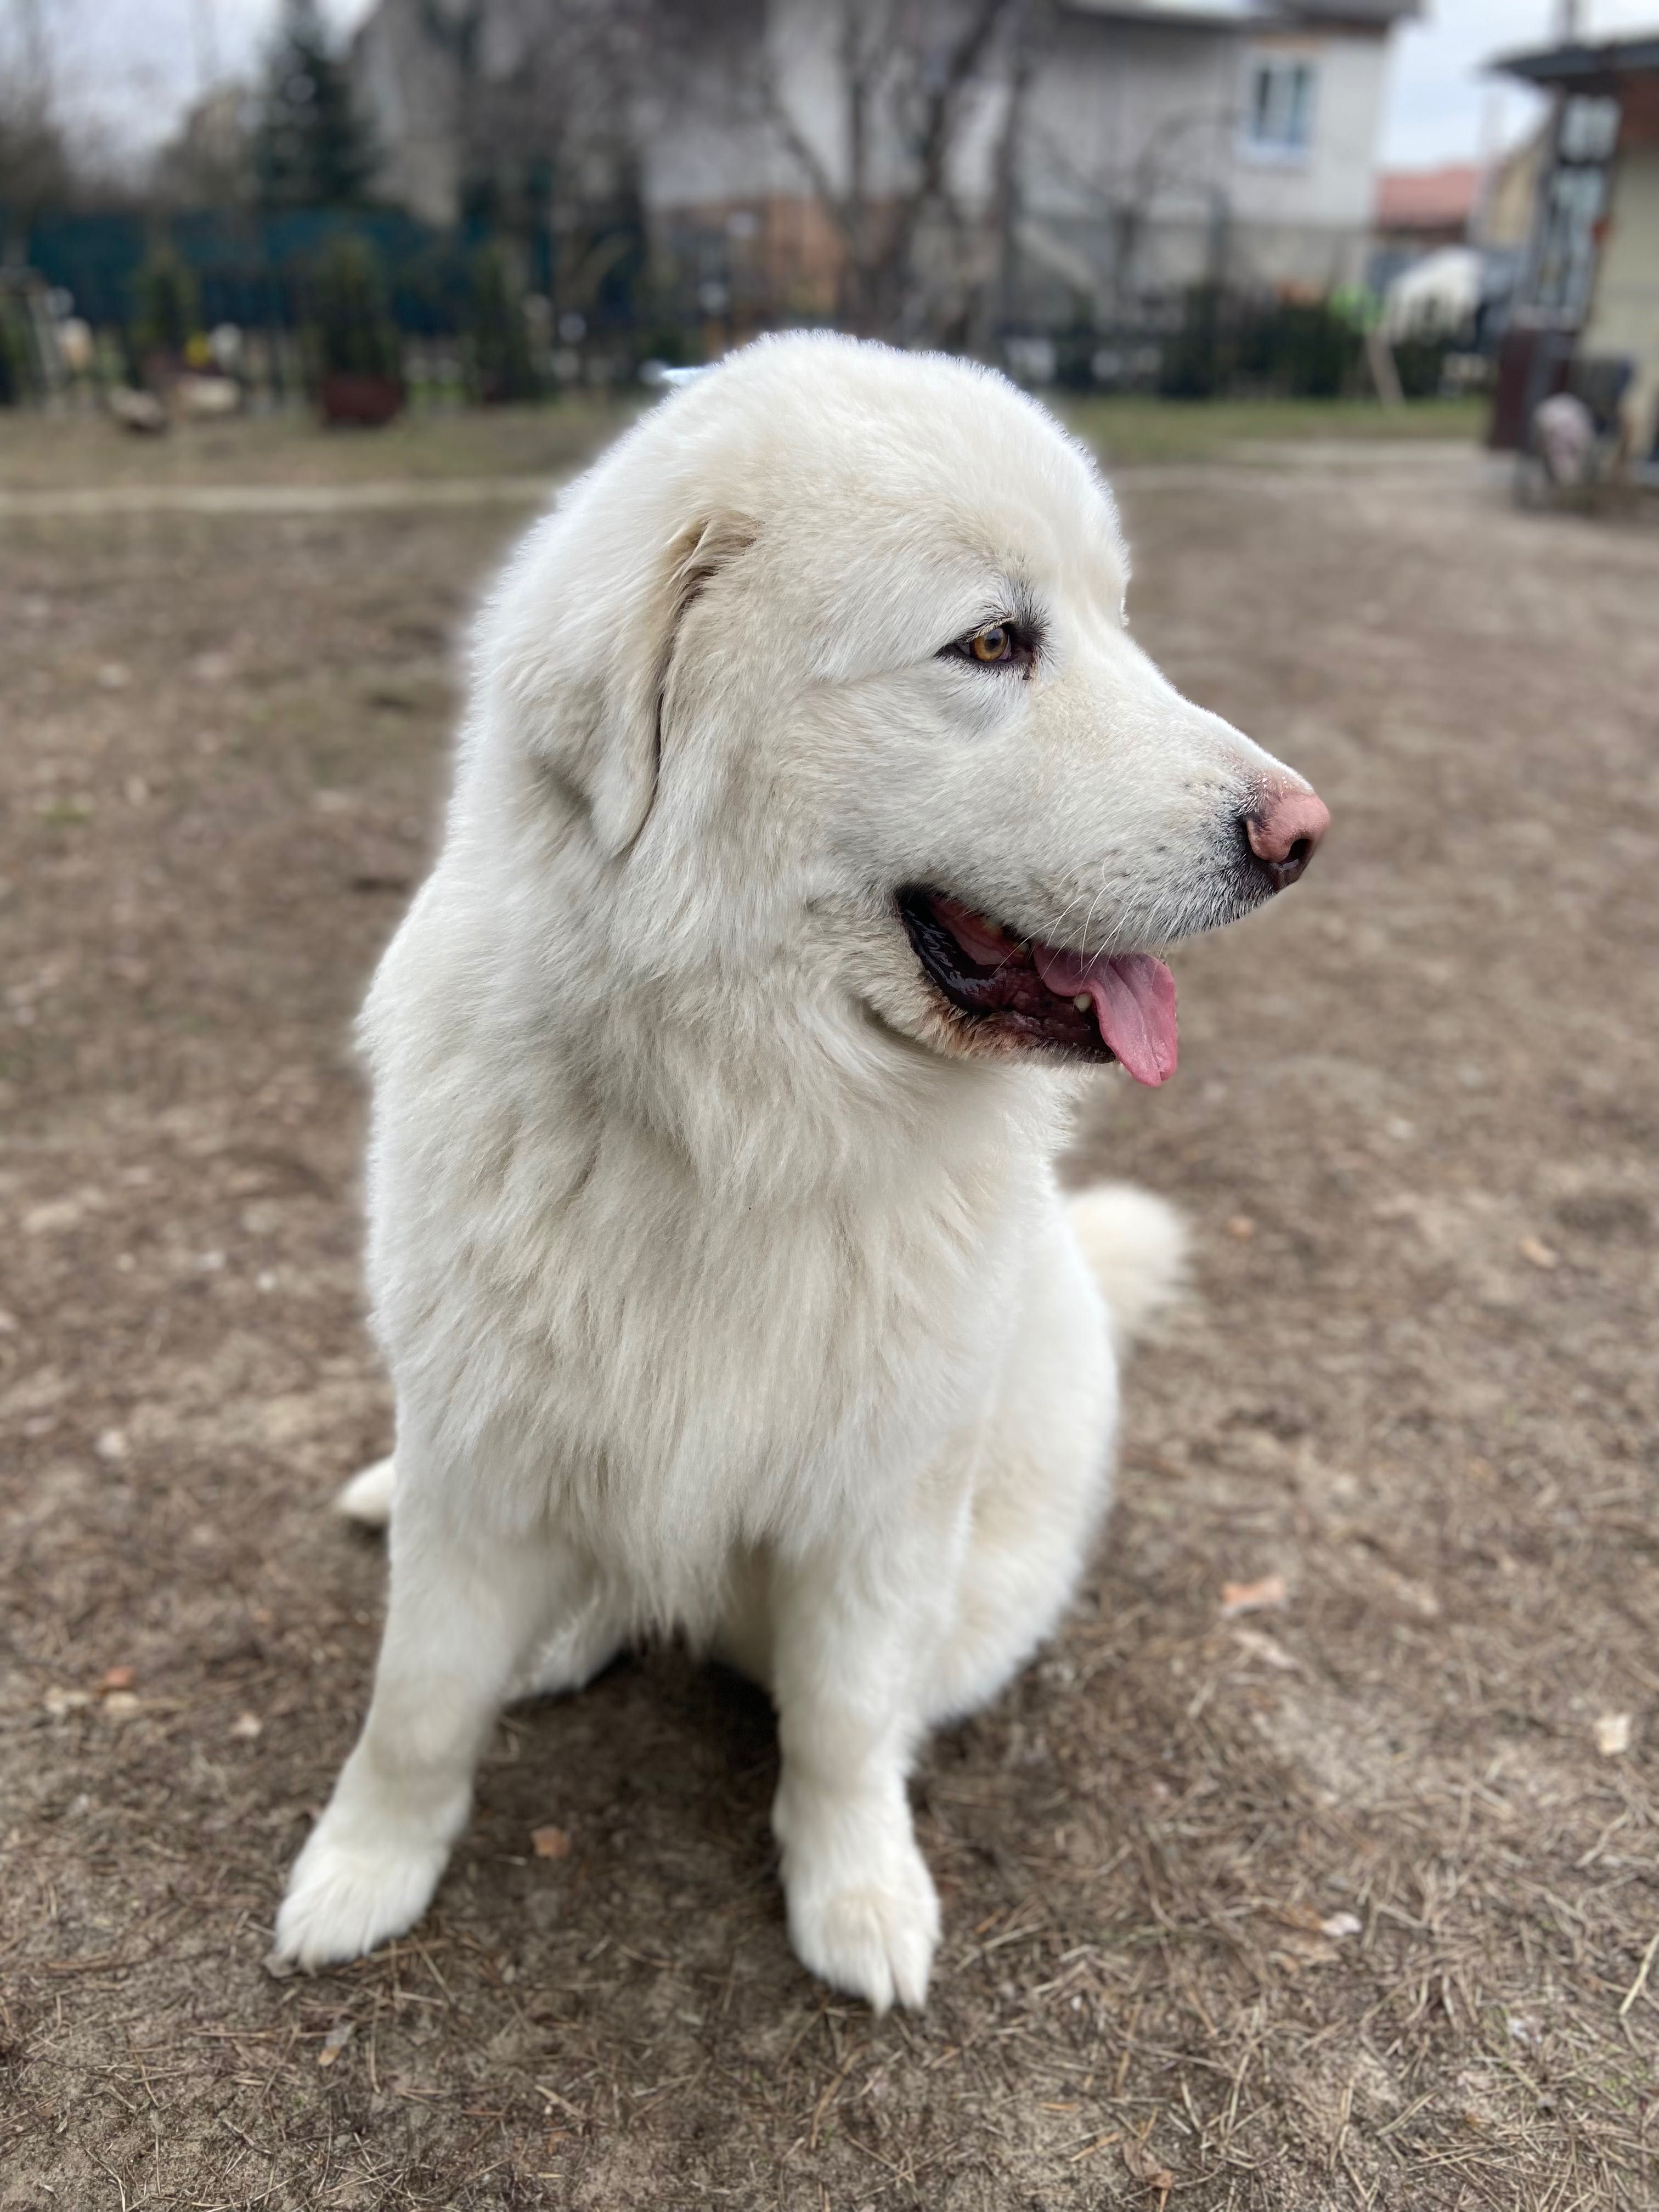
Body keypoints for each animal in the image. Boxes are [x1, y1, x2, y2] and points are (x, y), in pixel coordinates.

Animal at [276, 336, 1336, 2017]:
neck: (740, 1117)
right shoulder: (481, 1449)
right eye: (993, 641)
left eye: (1121, 619)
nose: (1303, 834)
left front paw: (858, 1899)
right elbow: (420, 1702)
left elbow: (839, 1729)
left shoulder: (877, 1507)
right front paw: (362, 1873)